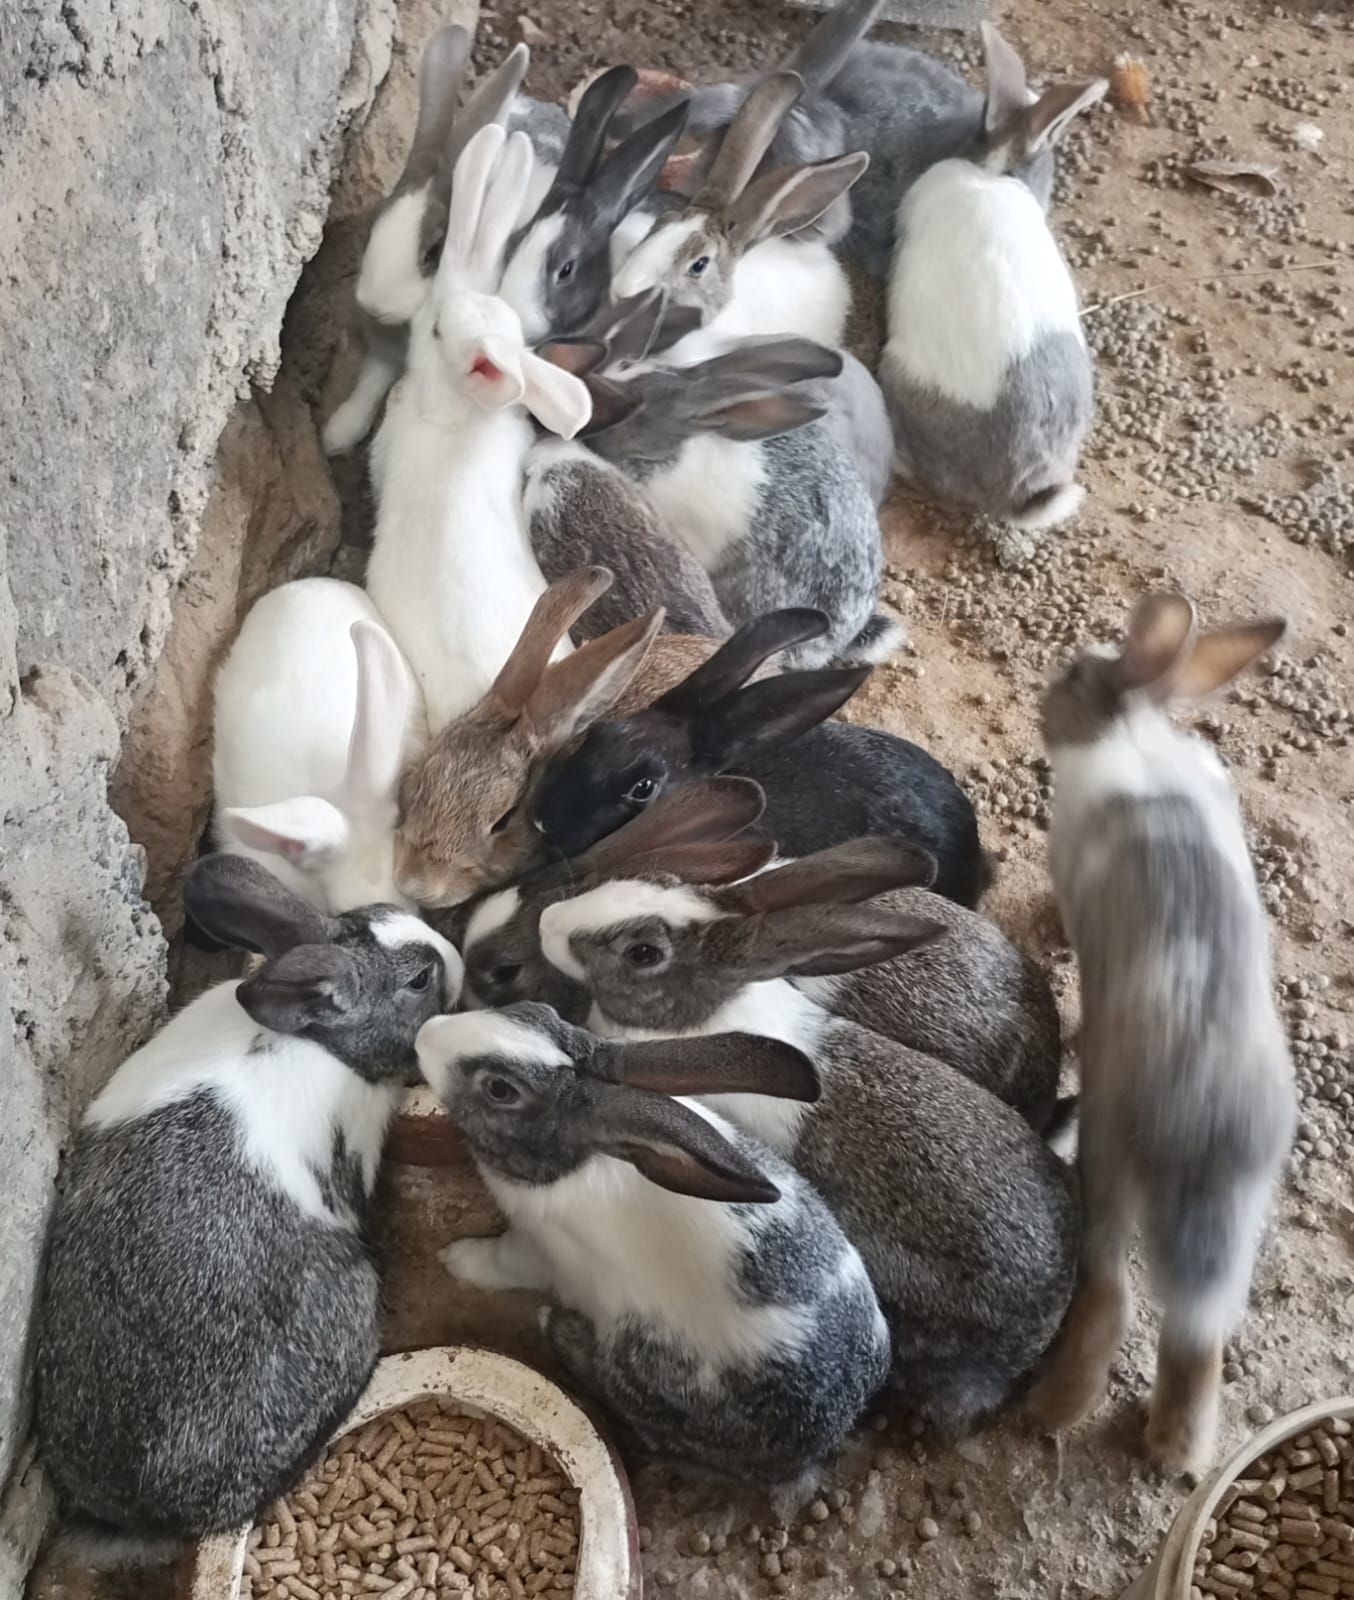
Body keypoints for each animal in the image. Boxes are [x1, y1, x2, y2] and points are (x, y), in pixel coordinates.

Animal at [323, 33, 534, 456]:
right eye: (372, 228)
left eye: (433, 254)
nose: (375, 305)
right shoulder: (382, 352)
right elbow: (370, 384)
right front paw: (338, 434)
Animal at [418, 1003, 891, 1479]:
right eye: (537, 1010)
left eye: (499, 1089)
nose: (425, 1034)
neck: (583, 1158)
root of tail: (828, 1433)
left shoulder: (536, 1250)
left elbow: (499, 1261)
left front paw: (455, 1258)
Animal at [1028, 593, 1295, 1475]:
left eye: (1073, 673)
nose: (1045, 703)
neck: (1132, 732)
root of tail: (1203, 1120)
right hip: (1240, 1215)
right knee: (1195, 1337)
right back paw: (1177, 1452)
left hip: (1110, 1155)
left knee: (1110, 1290)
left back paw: (1052, 1408)